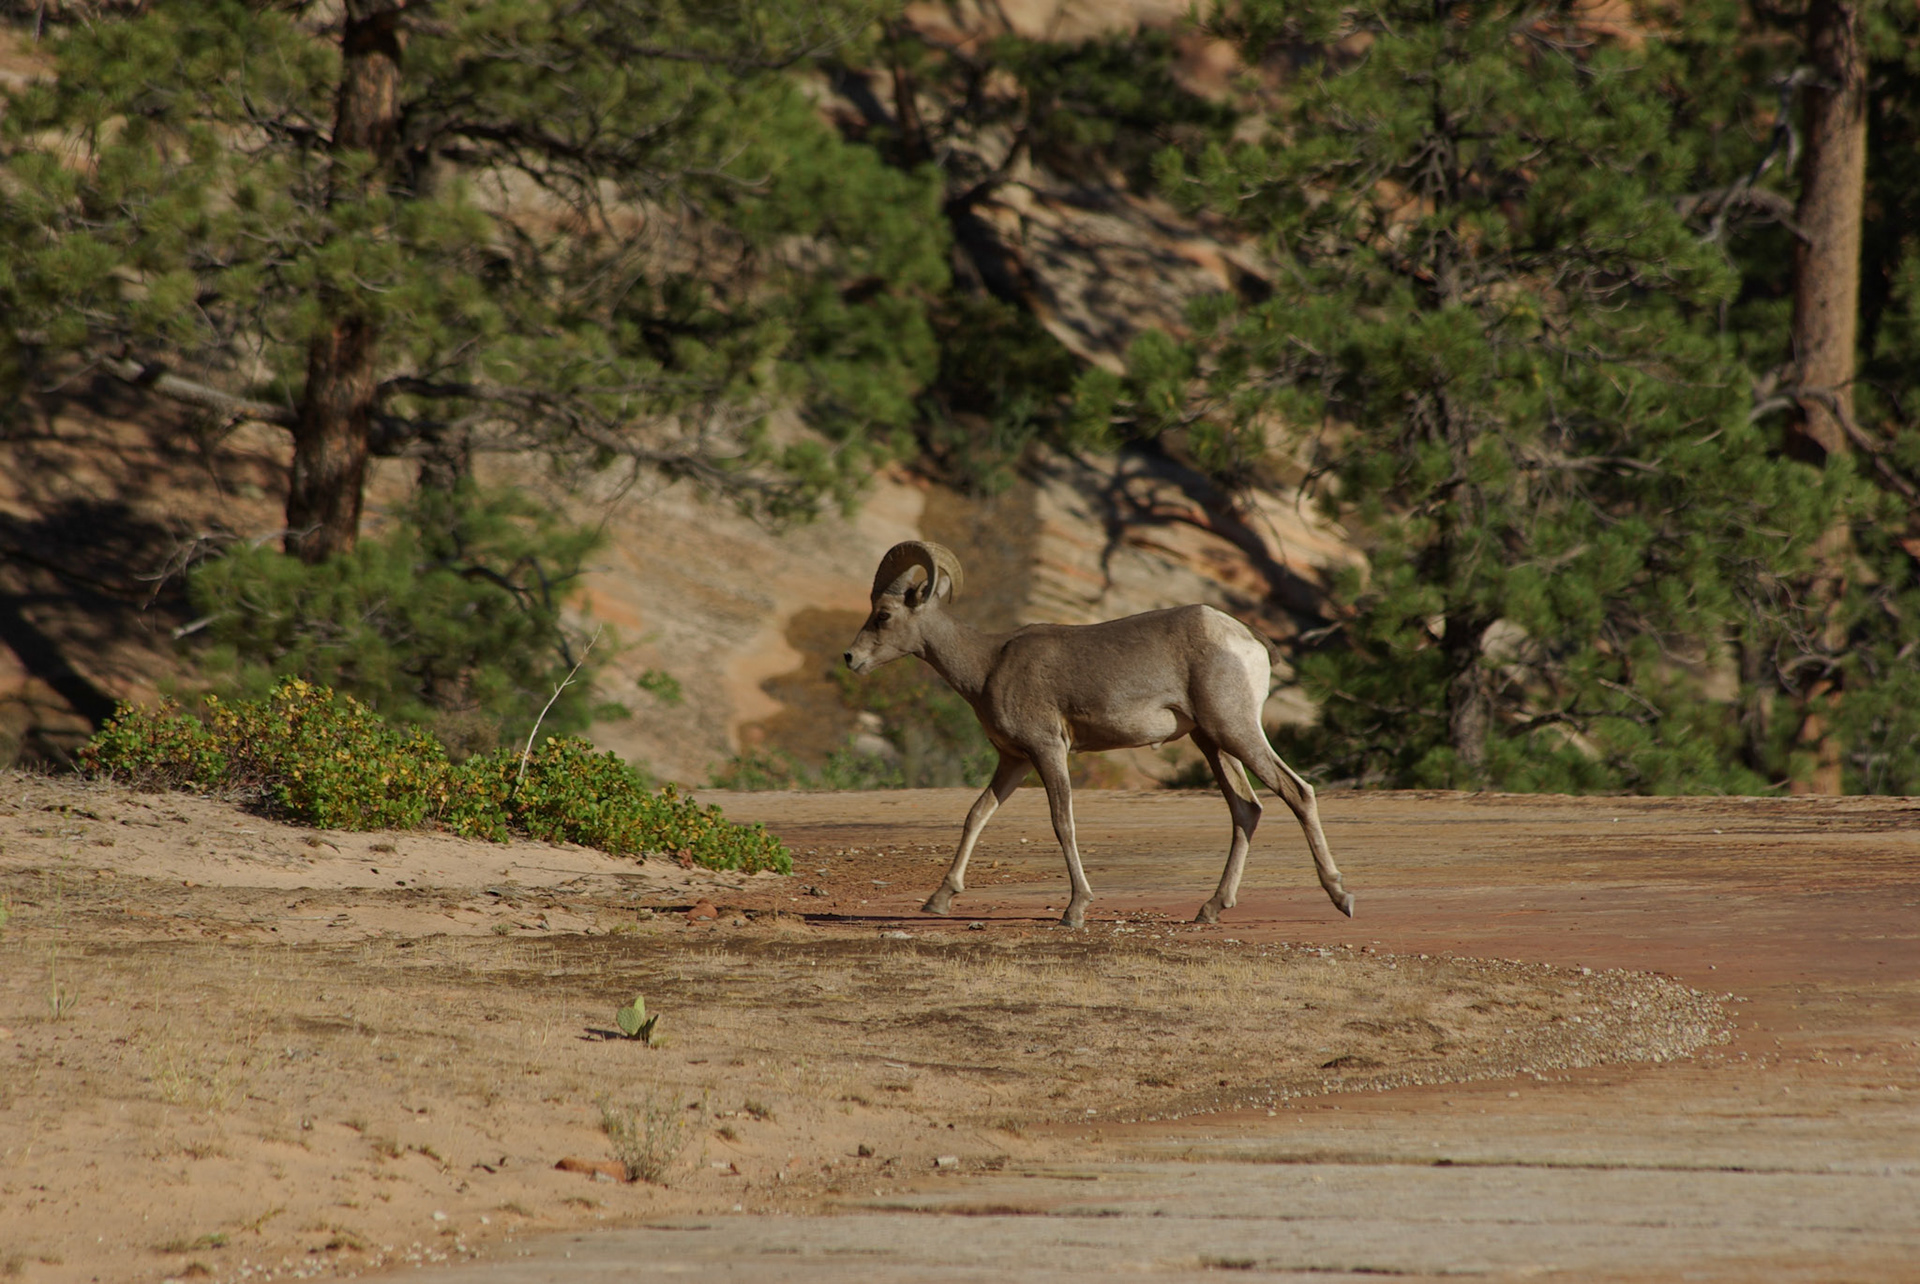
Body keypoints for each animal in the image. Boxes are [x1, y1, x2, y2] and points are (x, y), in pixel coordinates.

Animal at [843, 540, 1355, 928]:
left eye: (883, 615)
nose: (851, 658)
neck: (987, 665)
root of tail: (1247, 639)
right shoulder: (1015, 761)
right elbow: (976, 814)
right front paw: (939, 900)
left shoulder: (1049, 751)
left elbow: (1062, 824)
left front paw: (1075, 910)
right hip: (1212, 743)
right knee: (1246, 810)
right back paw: (1209, 909)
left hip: (1236, 731)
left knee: (1298, 791)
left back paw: (1340, 897)